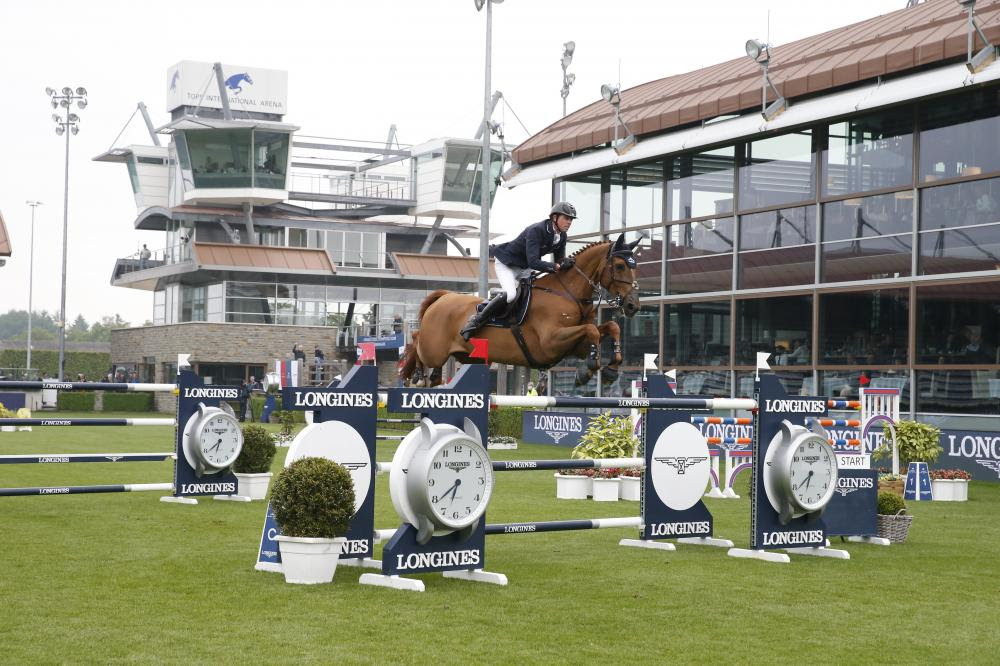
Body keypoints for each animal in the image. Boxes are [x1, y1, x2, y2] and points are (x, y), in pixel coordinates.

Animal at [398, 236, 640, 386]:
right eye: (620, 266)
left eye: (634, 266)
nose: (633, 305)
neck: (567, 293)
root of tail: (444, 297)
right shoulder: (551, 342)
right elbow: (592, 330)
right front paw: (588, 370)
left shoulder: (575, 347)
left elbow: (609, 327)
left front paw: (609, 370)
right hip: (433, 350)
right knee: (416, 342)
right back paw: (417, 375)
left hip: (467, 357)